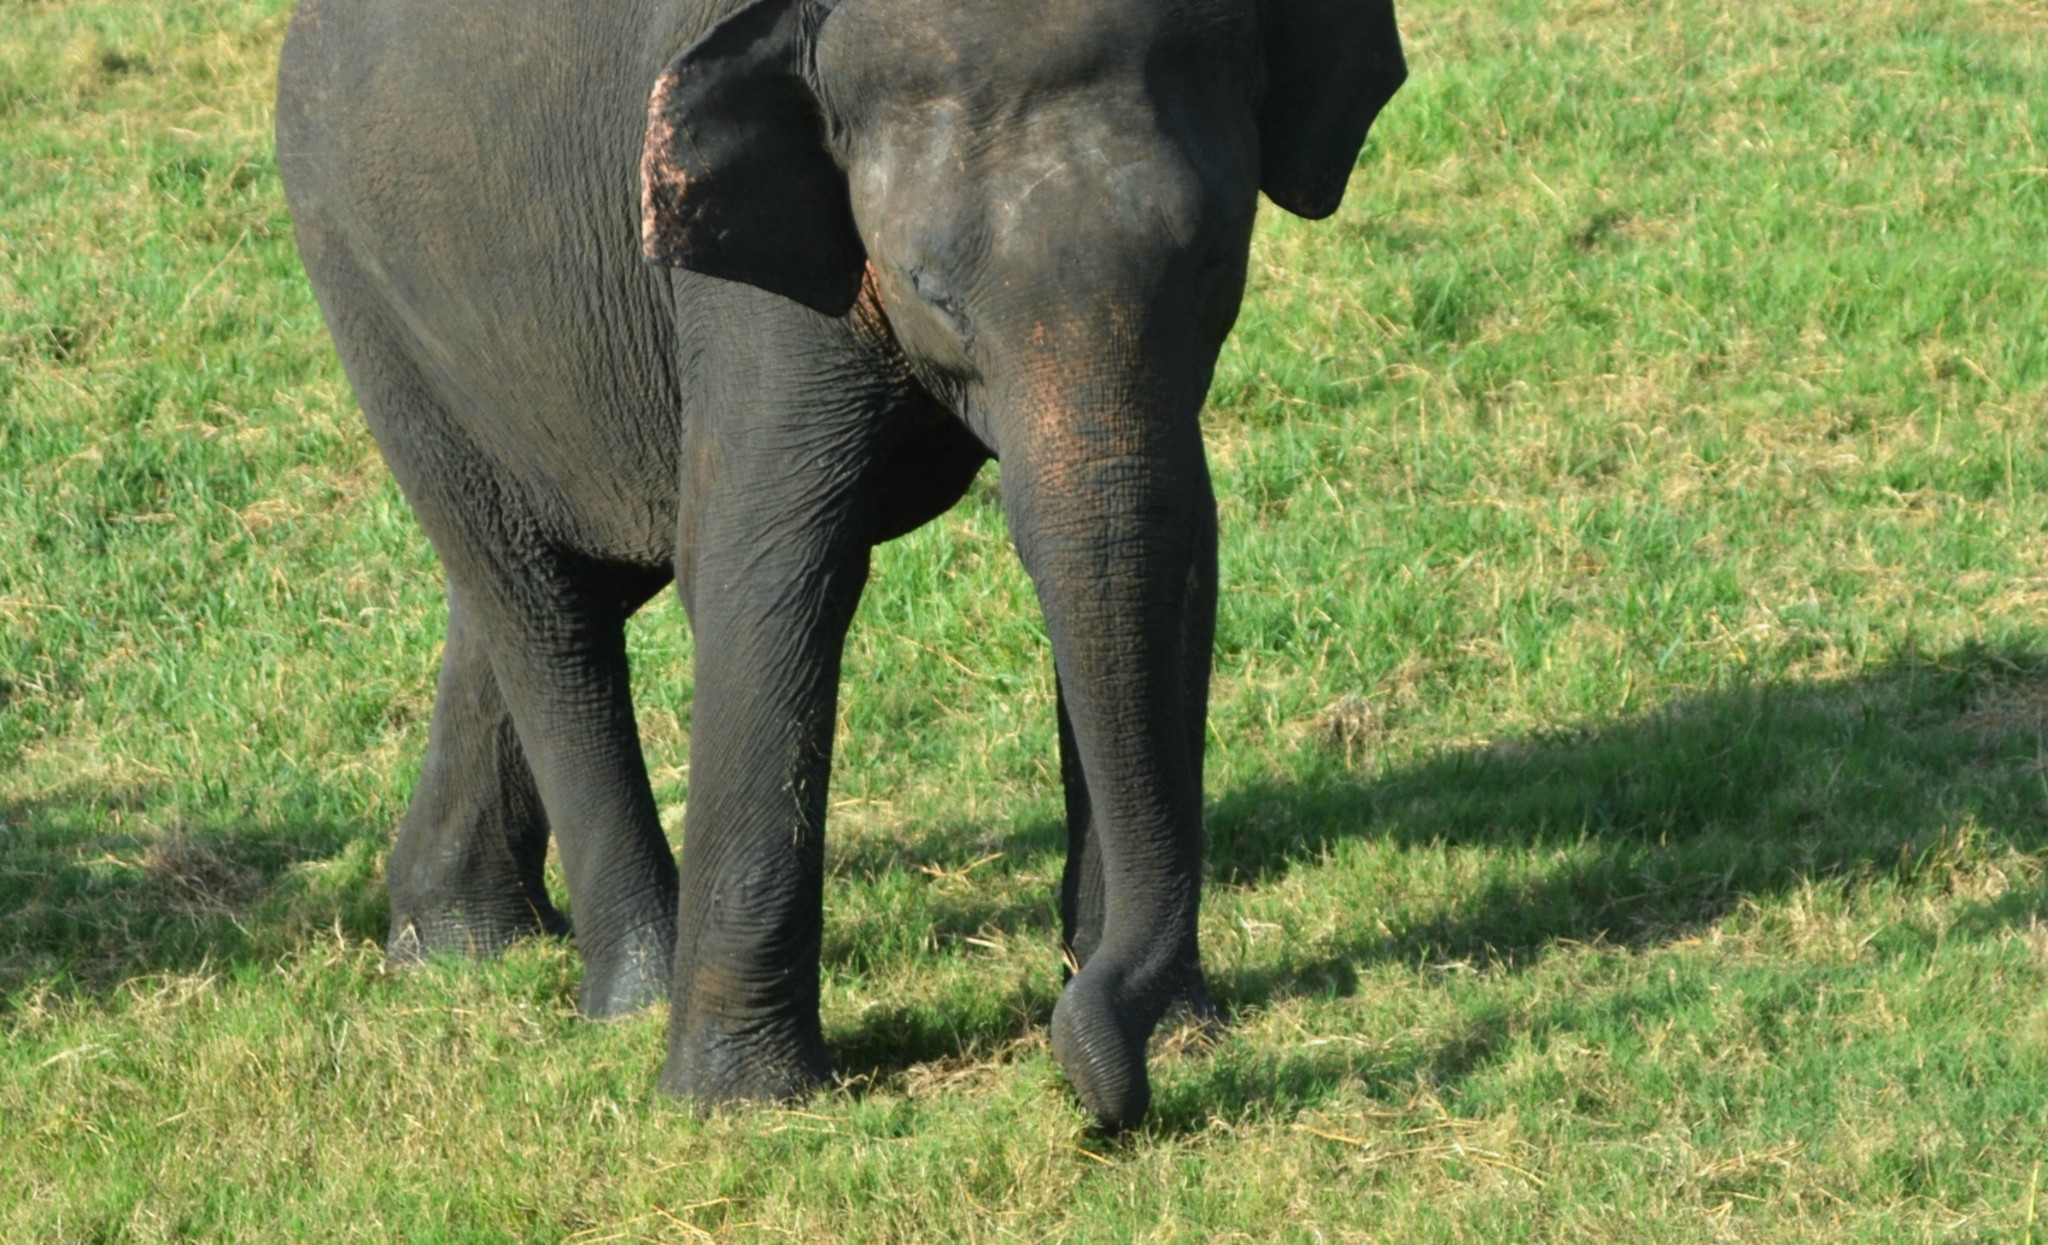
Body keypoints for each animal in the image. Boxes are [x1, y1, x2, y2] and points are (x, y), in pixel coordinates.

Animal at [276, 0, 1409, 1130]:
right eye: (931, 292)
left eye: (1215, 258)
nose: (1098, 1093)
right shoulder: (750, 277)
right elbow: (765, 568)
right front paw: (739, 1106)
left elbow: (1181, 548)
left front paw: (1181, 1029)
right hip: (362, 284)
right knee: (541, 604)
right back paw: (633, 992)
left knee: (563, 568)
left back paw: (458, 948)